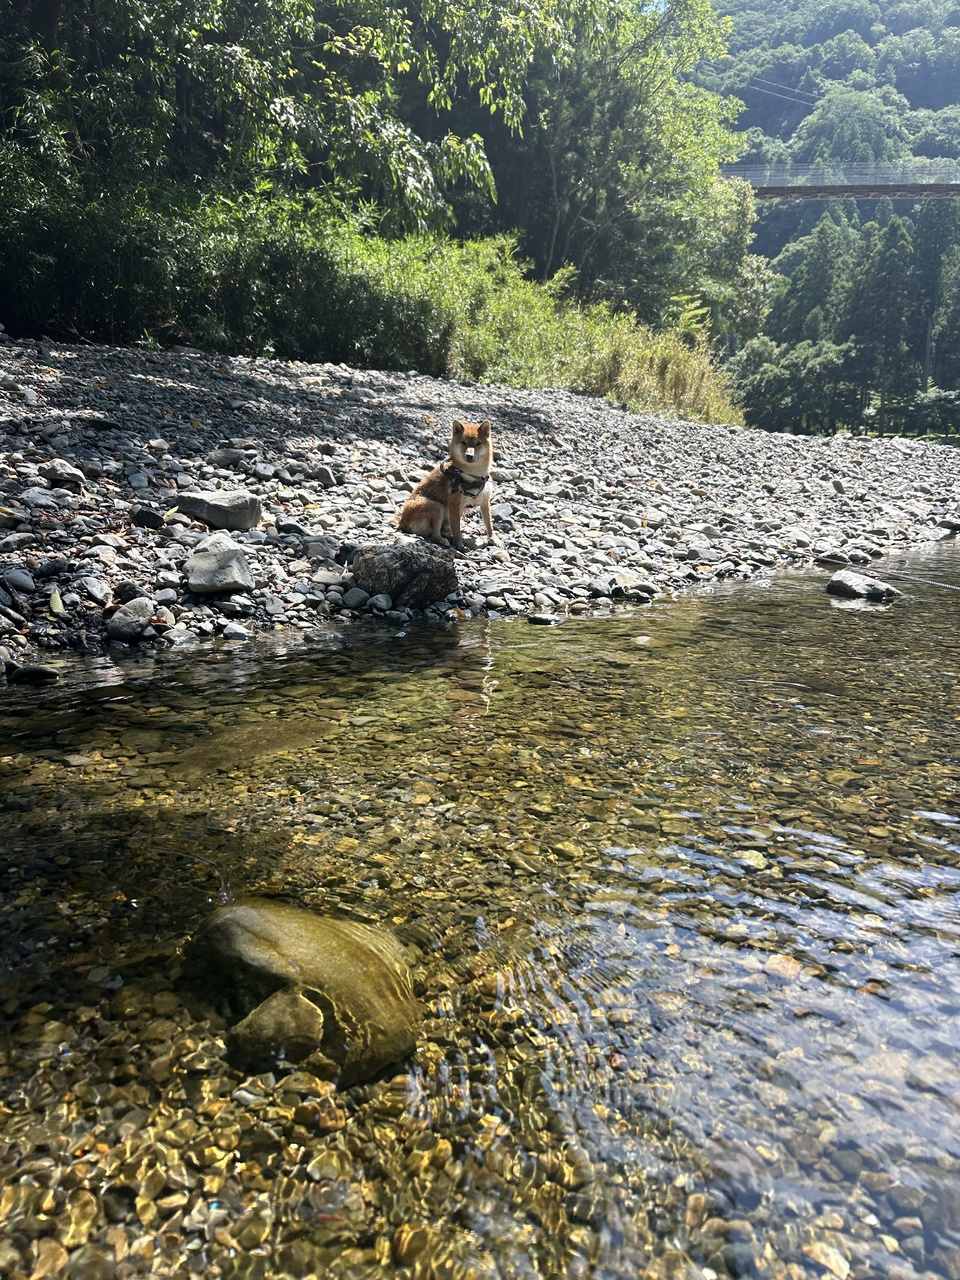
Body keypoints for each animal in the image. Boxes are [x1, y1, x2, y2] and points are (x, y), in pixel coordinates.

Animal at [397, 419, 497, 549]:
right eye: (463, 443)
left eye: (478, 443)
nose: (469, 456)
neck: (474, 476)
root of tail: (401, 523)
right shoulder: (454, 505)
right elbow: (456, 529)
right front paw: (459, 544)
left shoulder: (485, 501)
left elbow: (489, 524)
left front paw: (494, 539)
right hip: (436, 507)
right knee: (435, 535)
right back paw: (443, 539)